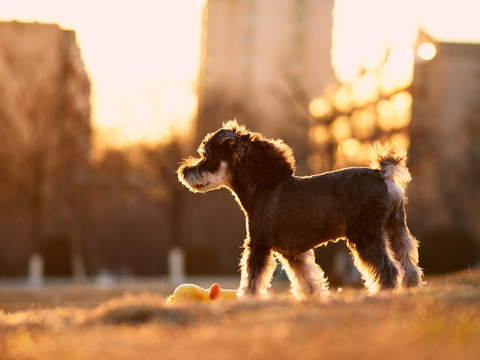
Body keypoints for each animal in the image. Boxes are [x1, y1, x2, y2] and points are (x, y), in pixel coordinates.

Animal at [177, 121, 424, 298]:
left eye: (206, 157)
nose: (184, 171)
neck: (263, 188)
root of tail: (383, 176)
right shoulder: (293, 253)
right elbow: (307, 279)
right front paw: (313, 298)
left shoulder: (258, 245)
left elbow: (252, 278)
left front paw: (246, 298)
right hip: (396, 229)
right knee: (409, 264)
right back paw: (411, 289)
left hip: (366, 236)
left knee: (389, 269)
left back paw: (382, 293)